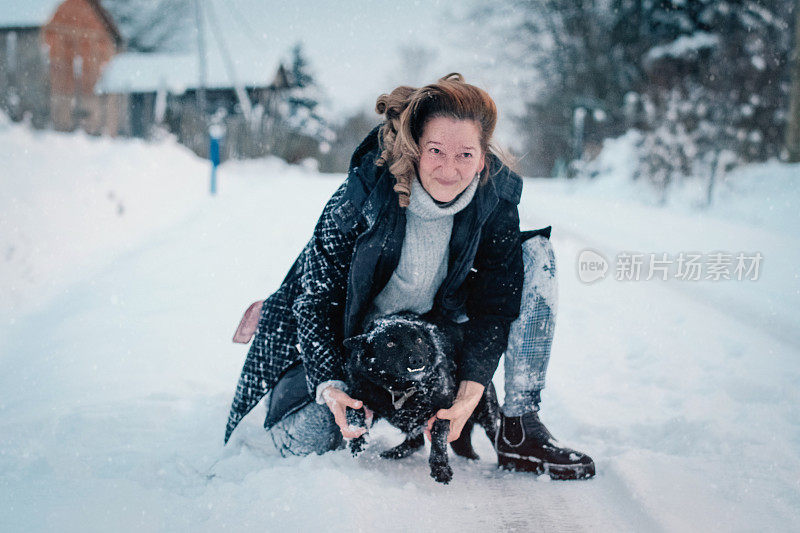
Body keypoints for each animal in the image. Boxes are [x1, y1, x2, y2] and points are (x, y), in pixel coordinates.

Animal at [340, 312, 496, 482]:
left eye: (419, 340)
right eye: (390, 344)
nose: (417, 359)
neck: (402, 387)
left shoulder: (444, 410)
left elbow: (438, 438)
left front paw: (440, 467)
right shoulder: (359, 395)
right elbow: (355, 413)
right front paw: (358, 441)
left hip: (486, 413)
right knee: (416, 441)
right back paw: (393, 453)